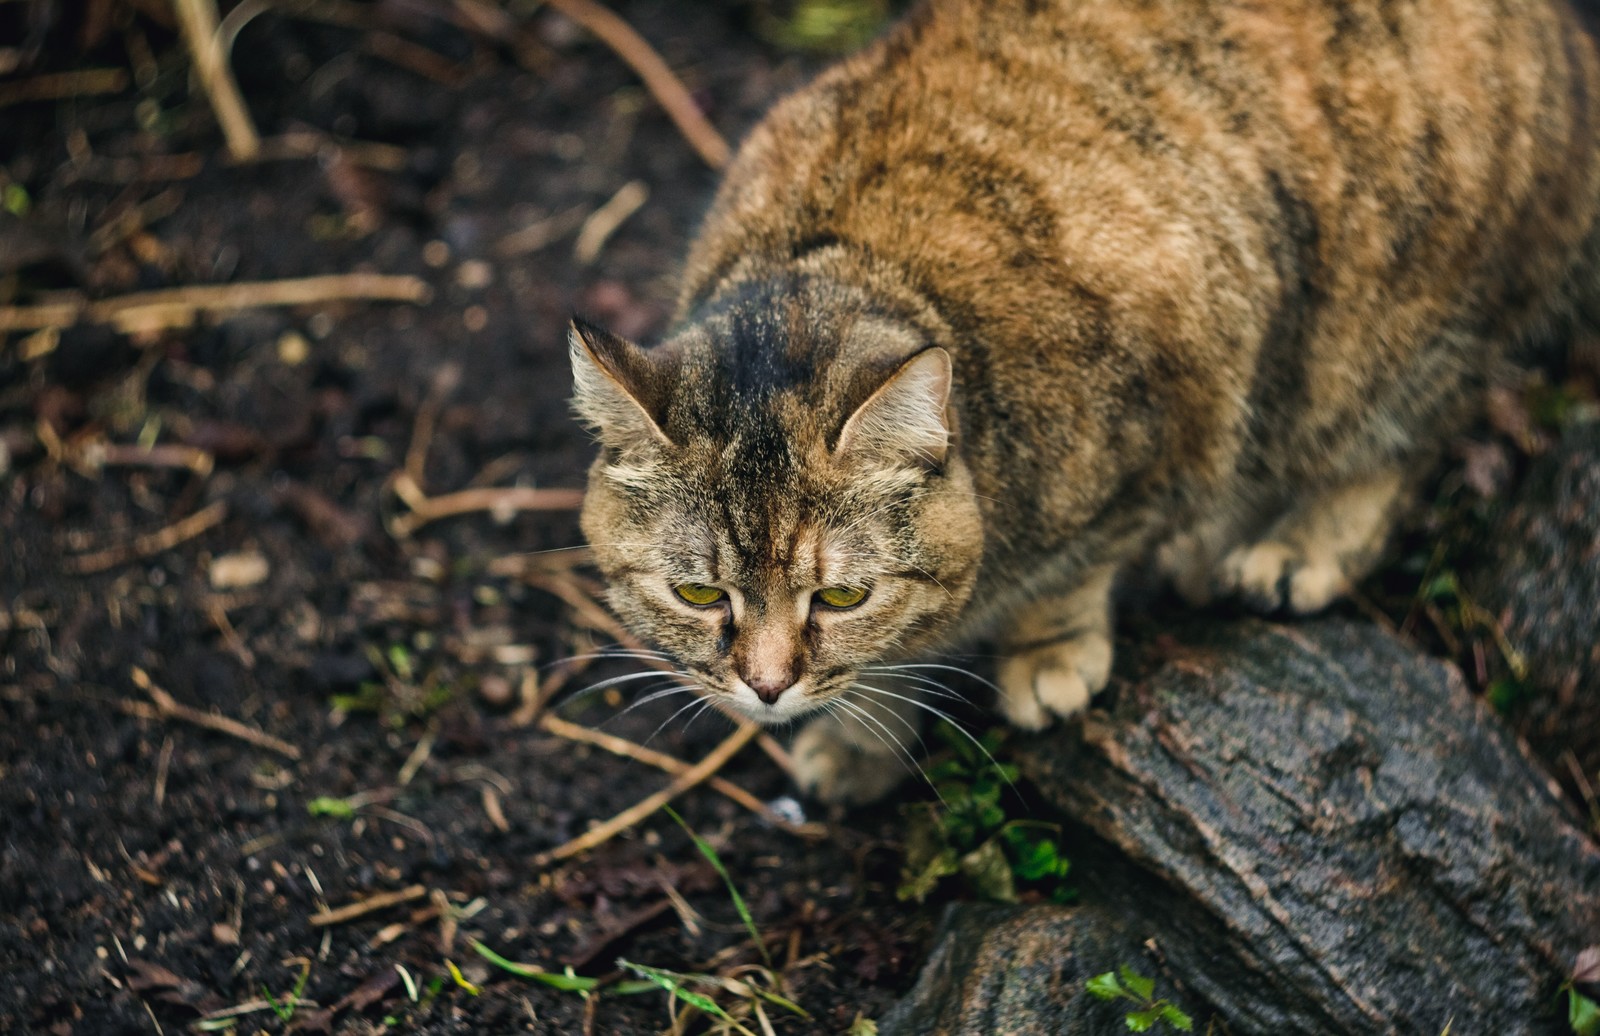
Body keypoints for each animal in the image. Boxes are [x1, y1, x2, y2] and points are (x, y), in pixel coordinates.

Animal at [566, 0, 1600, 802]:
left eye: (843, 594)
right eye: (699, 593)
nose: (768, 687)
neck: (857, 260)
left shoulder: (1168, 420)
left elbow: (1069, 573)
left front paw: (1047, 653)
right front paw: (862, 733)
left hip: (1395, 329)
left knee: (1403, 440)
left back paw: (1292, 546)